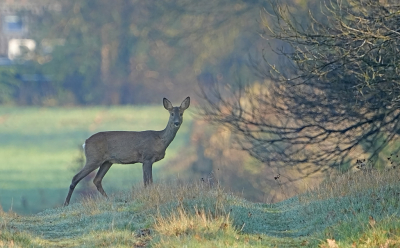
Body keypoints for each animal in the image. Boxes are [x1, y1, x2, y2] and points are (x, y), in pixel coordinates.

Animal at [63, 96, 191, 205]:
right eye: (172, 114)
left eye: (181, 113)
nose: (176, 123)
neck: (160, 139)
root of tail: (85, 143)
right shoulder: (147, 157)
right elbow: (148, 181)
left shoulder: (145, 160)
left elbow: (147, 181)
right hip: (93, 158)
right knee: (76, 177)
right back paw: (66, 204)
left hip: (107, 162)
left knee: (97, 180)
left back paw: (108, 199)